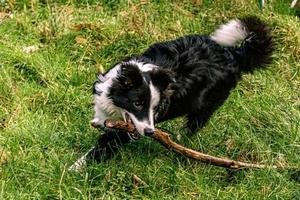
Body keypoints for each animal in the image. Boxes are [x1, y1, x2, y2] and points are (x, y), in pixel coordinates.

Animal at [69, 16, 274, 171]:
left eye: (155, 107)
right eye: (137, 104)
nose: (150, 132)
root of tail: (234, 53)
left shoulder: (121, 133)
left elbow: (100, 148)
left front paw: (75, 169)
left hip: (205, 107)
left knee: (191, 128)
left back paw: (181, 146)